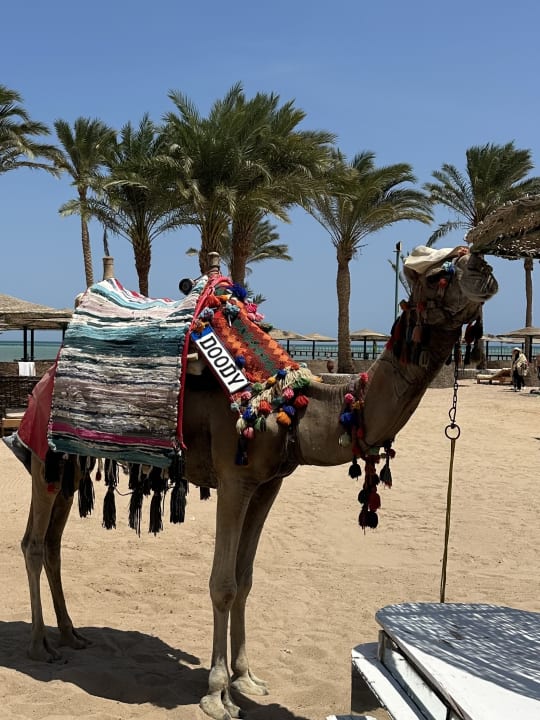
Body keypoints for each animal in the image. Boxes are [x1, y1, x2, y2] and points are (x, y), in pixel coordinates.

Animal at [8, 246, 497, 720]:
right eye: (438, 272)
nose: (485, 267)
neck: (290, 407)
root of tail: (45, 376)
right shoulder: (235, 478)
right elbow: (222, 584)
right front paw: (217, 694)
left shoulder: (269, 485)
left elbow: (244, 579)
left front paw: (245, 678)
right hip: (44, 457)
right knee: (32, 543)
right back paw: (39, 646)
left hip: (68, 467)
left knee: (52, 543)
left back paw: (71, 635)